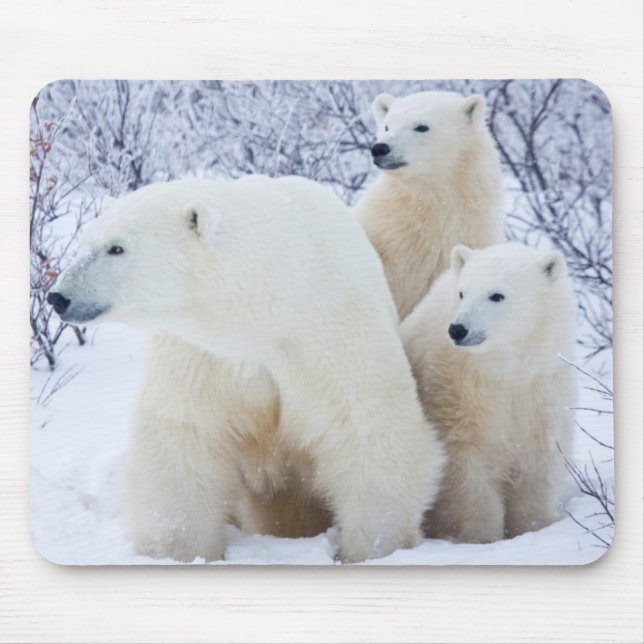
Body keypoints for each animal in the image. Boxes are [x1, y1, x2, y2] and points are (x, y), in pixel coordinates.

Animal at [48, 175, 445, 563]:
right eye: (84, 242)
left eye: (117, 248)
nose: (58, 297)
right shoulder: (202, 355)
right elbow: (184, 436)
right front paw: (179, 552)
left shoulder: (329, 332)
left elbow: (366, 429)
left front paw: (374, 549)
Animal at [401, 242, 577, 543]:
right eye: (462, 292)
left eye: (496, 295)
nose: (458, 329)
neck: (501, 367)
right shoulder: (455, 391)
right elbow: (467, 468)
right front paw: (482, 538)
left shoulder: (539, 390)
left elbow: (536, 460)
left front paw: (534, 527)